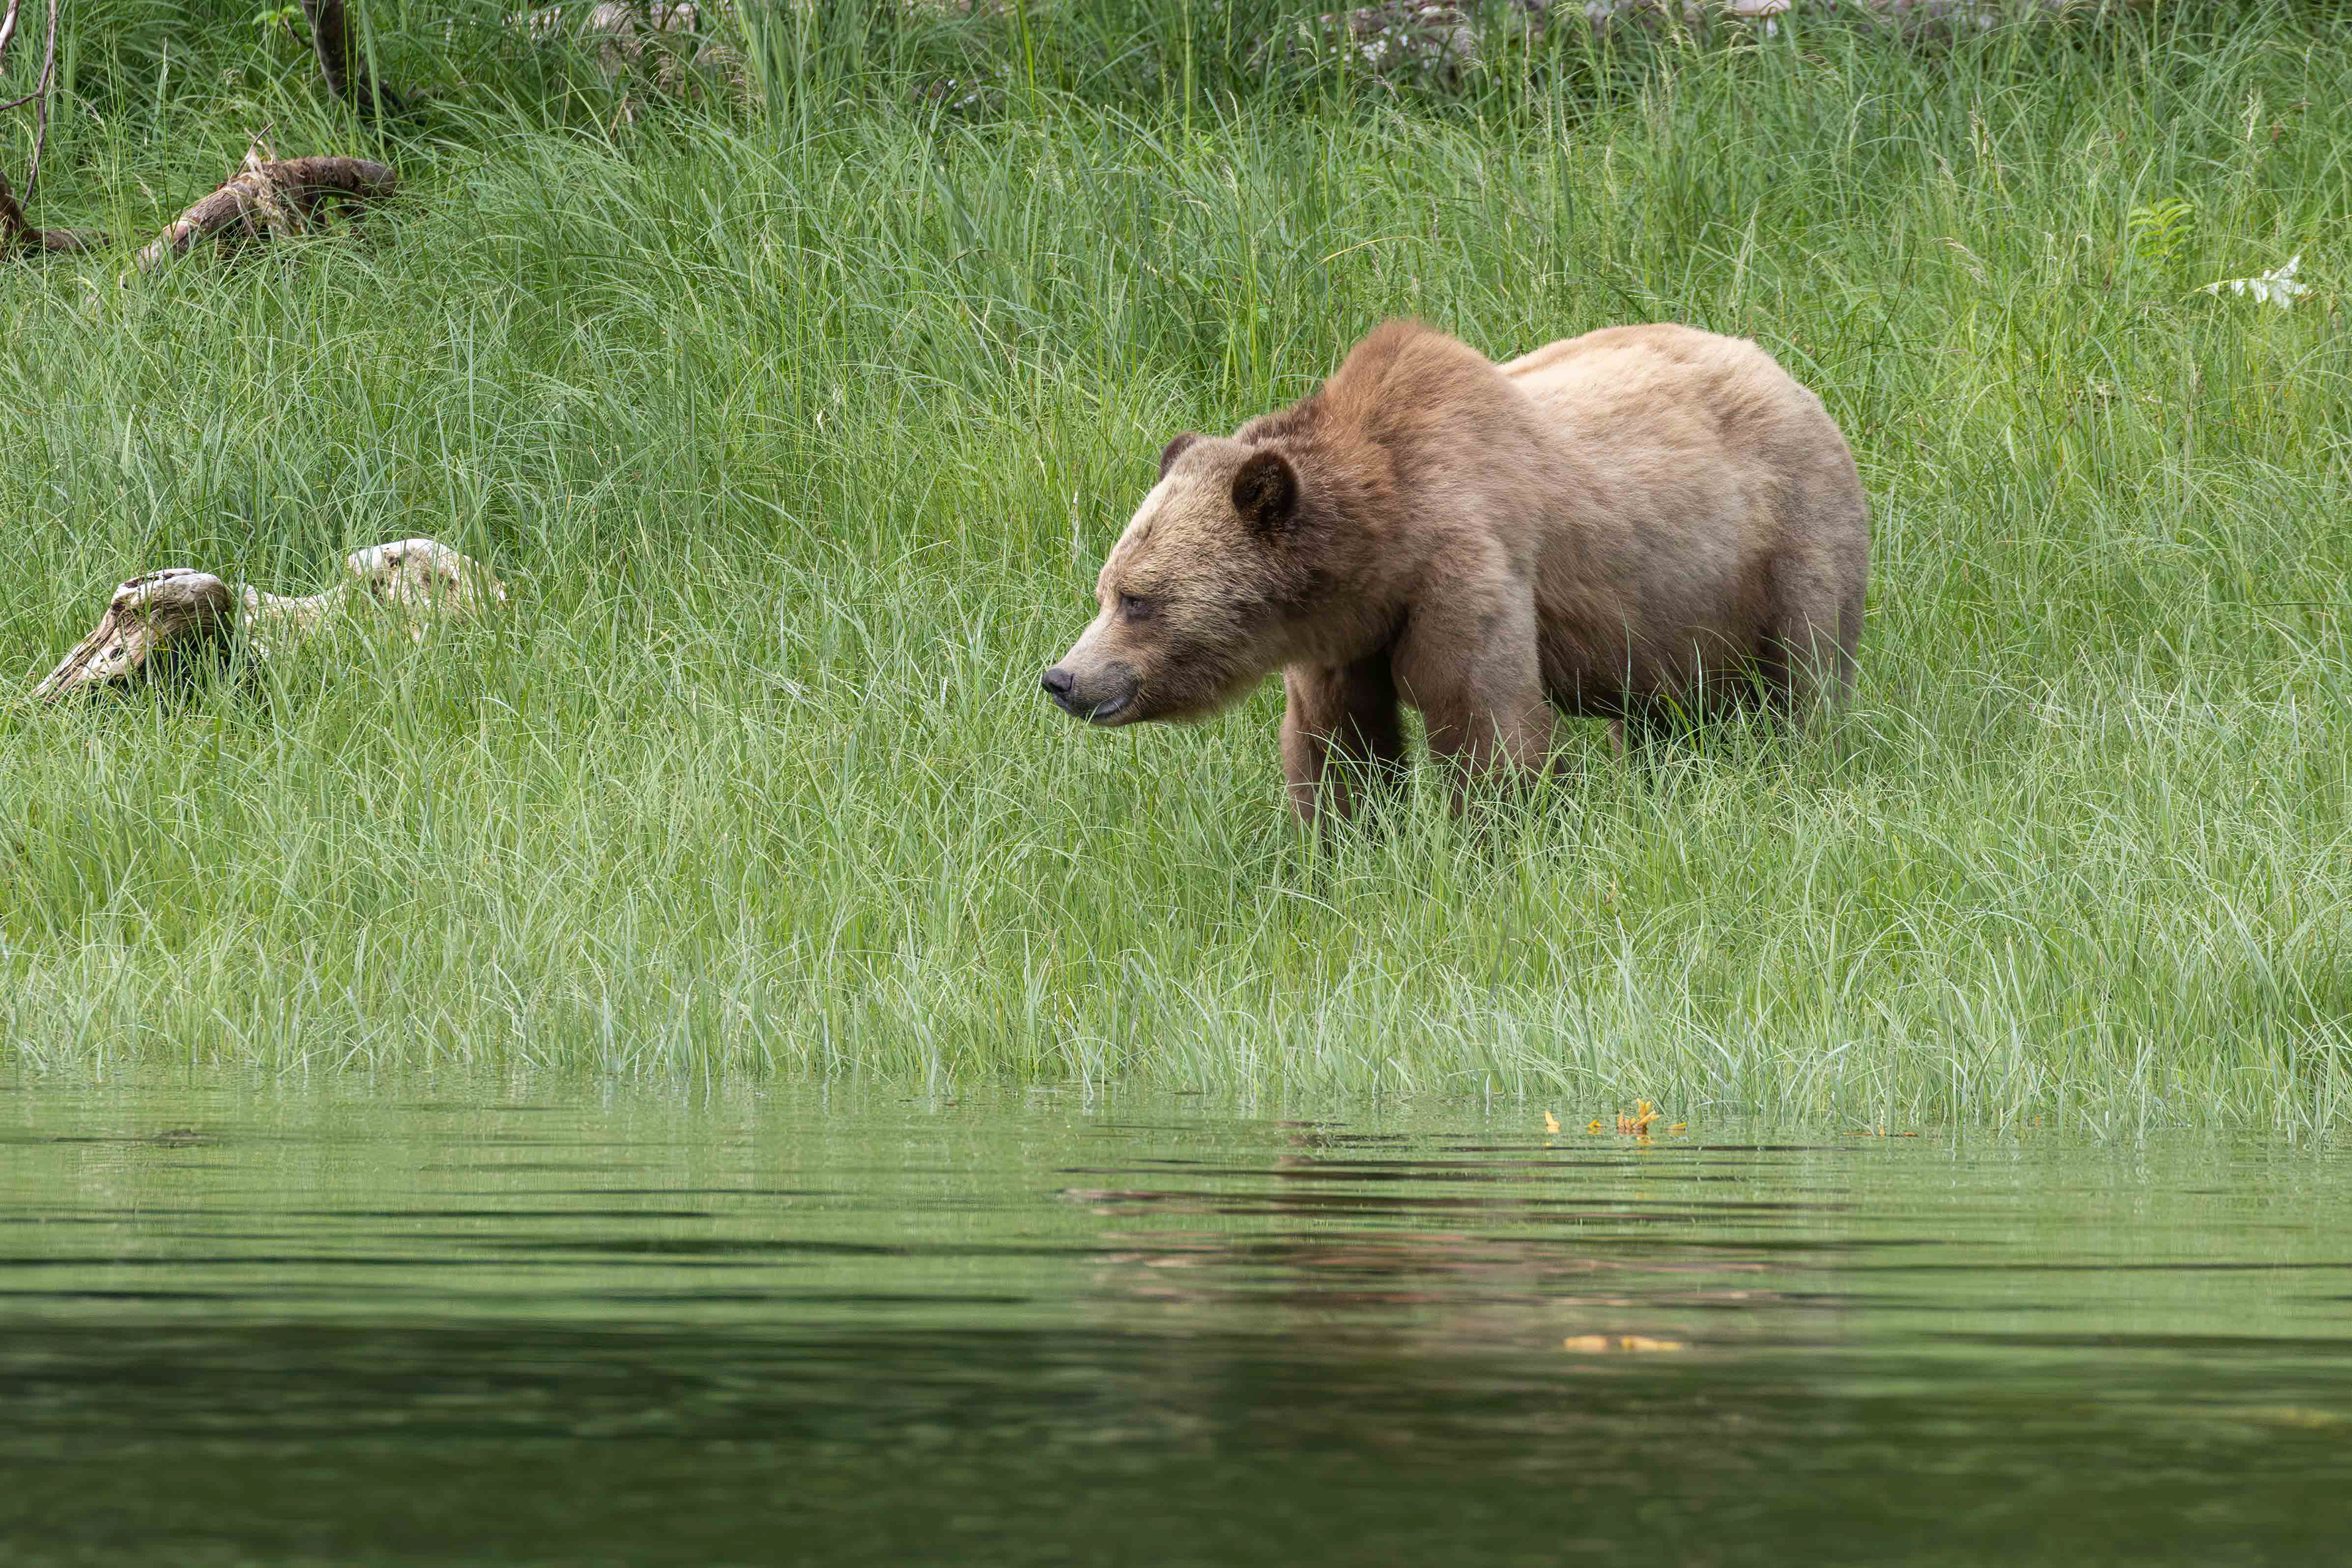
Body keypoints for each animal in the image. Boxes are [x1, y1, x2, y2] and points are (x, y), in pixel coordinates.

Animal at [1041, 319, 1870, 823]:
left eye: (1139, 599)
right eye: (1105, 589)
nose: (1062, 677)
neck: (1379, 545)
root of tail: (1782, 368)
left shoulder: (1464, 563)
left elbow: (1483, 716)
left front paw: (1495, 840)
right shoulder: (1340, 637)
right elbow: (1336, 742)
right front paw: (1340, 848)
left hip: (1788, 540)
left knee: (1807, 669)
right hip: (1672, 610)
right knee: (1664, 713)